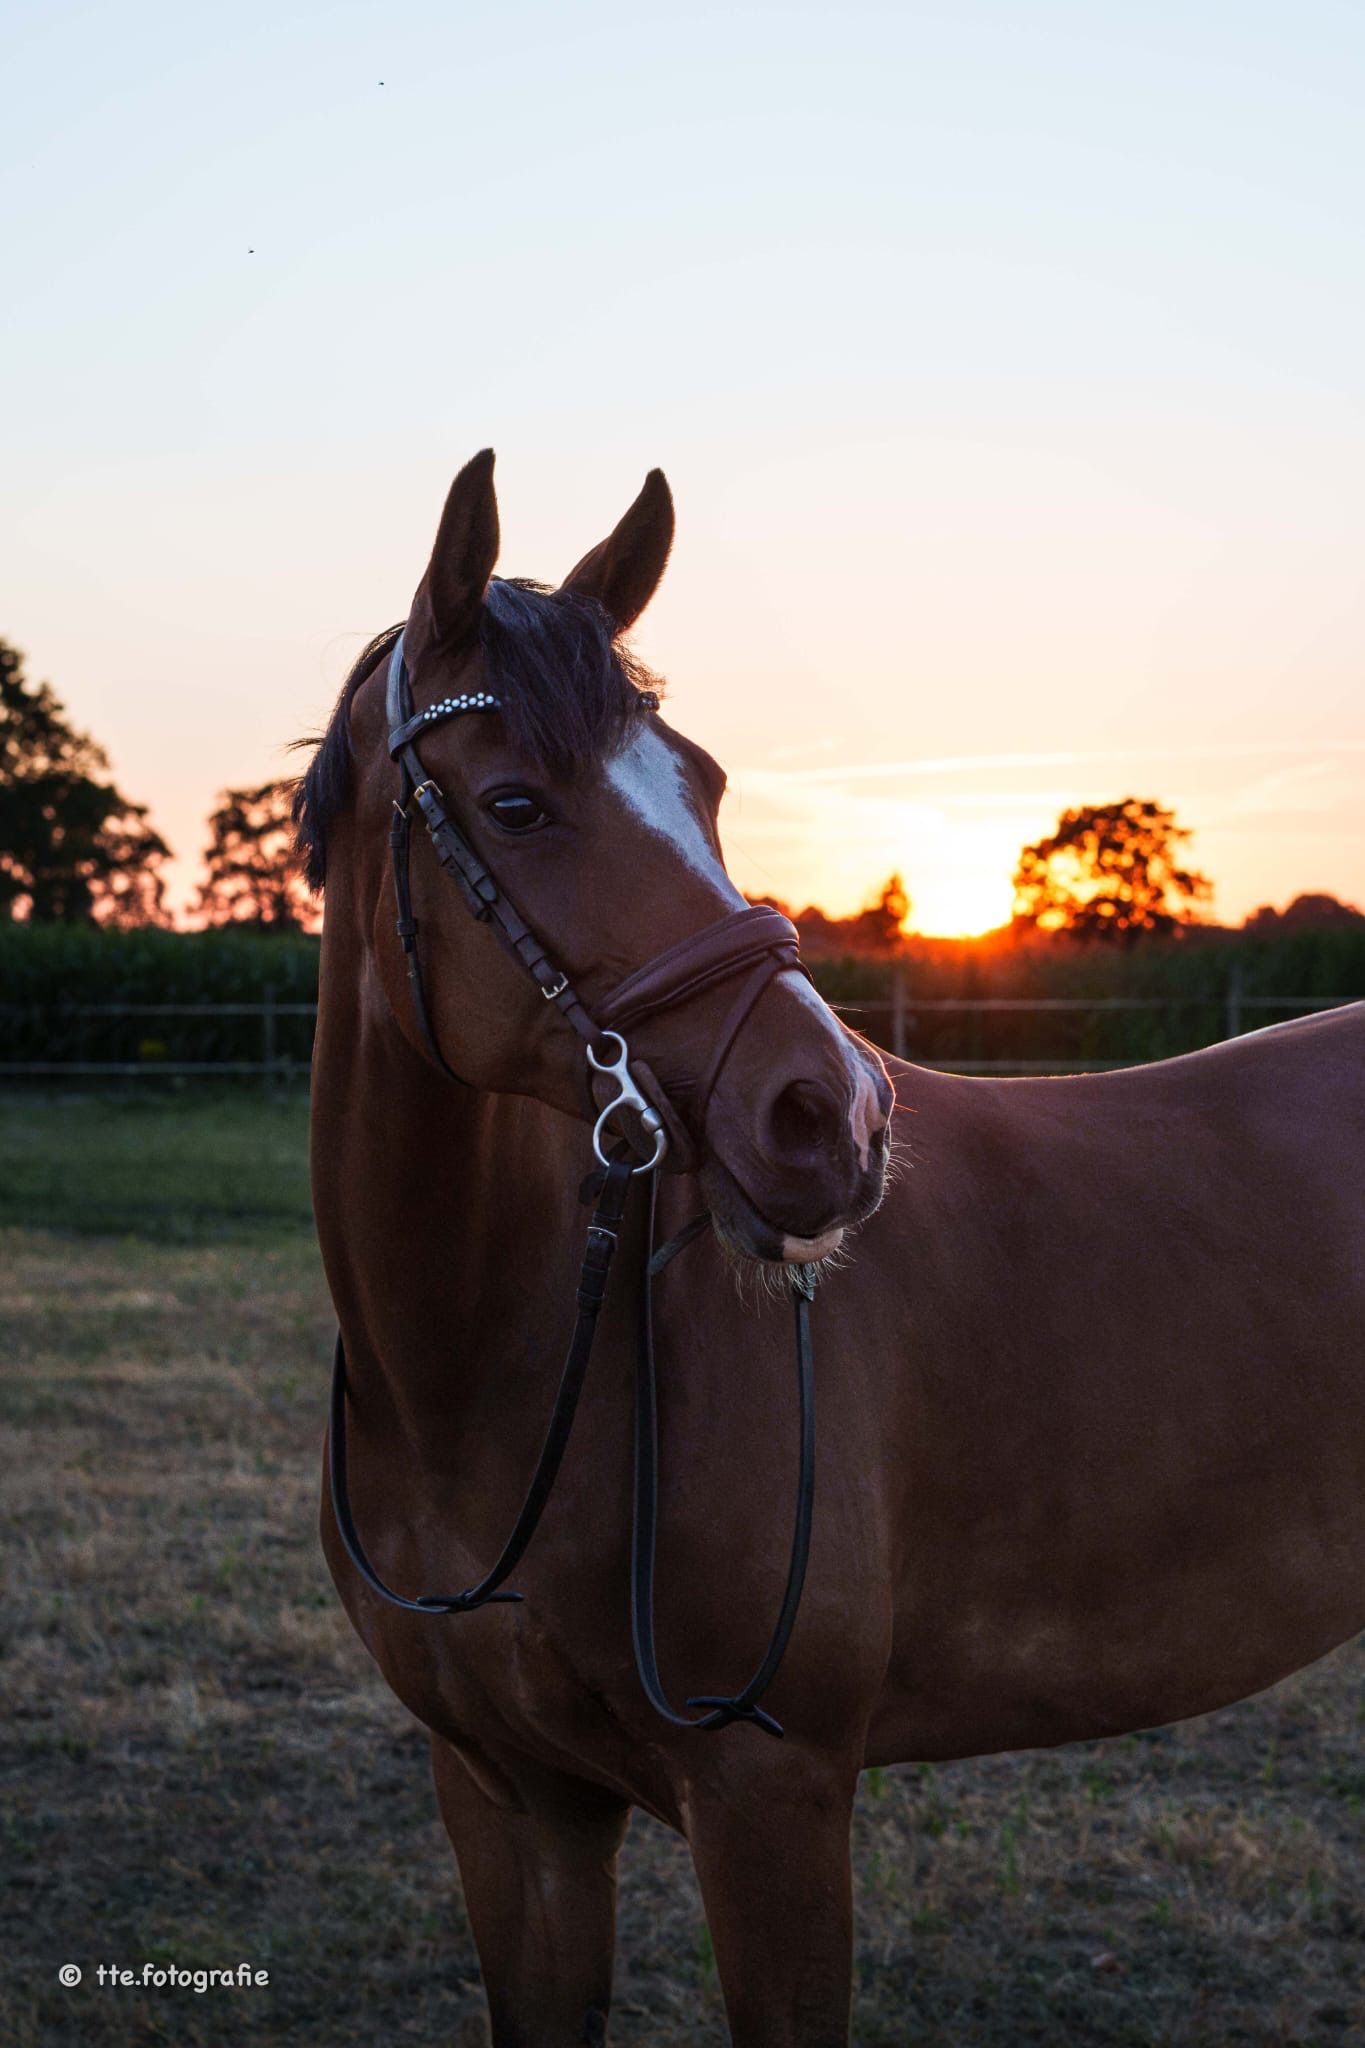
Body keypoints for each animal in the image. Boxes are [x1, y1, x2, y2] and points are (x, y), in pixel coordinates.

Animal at [297, 449, 1365, 2047]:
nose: (834, 1116)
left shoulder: (773, 1795)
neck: (493, 1382)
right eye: (514, 801)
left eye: (706, 784)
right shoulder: (510, 1805)